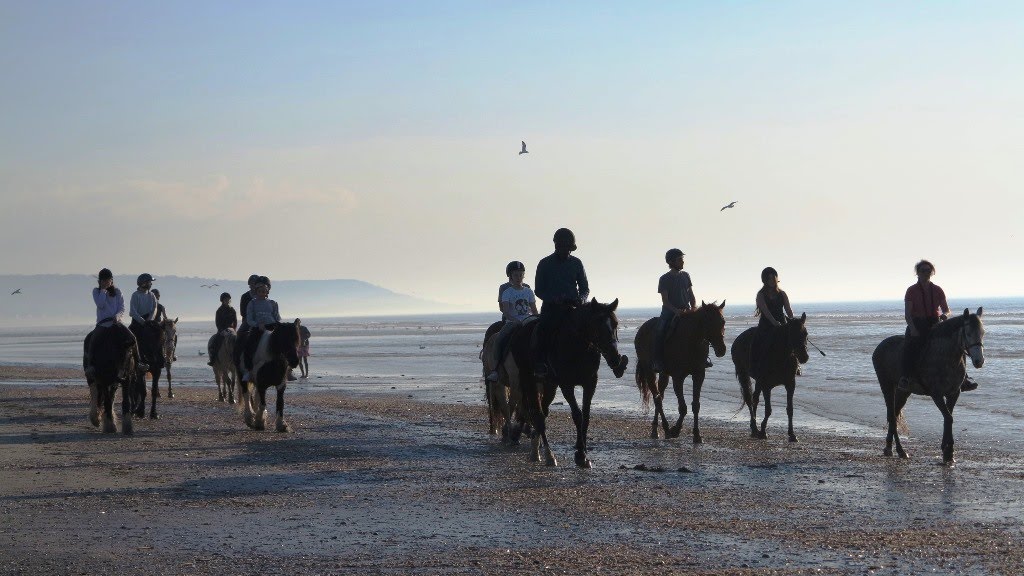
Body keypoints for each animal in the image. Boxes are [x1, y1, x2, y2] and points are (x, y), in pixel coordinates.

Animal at [507, 297, 626, 463]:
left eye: (615, 324)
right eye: (597, 325)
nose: (615, 358)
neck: (577, 346)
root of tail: (520, 329)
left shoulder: (590, 384)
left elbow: (586, 416)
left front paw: (583, 451)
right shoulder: (566, 385)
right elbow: (577, 415)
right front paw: (581, 455)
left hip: (549, 385)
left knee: (543, 411)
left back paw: (537, 448)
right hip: (528, 380)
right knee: (538, 414)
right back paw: (547, 454)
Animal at [630, 297, 729, 440]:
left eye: (723, 321)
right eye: (708, 322)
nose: (721, 349)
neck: (692, 341)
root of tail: (642, 328)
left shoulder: (699, 375)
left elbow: (696, 405)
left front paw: (697, 434)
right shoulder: (678, 378)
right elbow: (682, 408)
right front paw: (675, 430)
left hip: (664, 374)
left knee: (660, 395)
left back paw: (658, 428)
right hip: (649, 371)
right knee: (657, 398)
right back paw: (663, 429)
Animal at [872, 305, 983, 461]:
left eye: (982, 333)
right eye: (967, 333)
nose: (979, 361)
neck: (945, 357)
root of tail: (880, 346)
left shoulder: (954, 393)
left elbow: (948, 417)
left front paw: (947, 450)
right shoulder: (936, 394)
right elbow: (948, 417)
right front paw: (949, 451)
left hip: (903, 391)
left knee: (894, 413)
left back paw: (890, 447)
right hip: (886, 386)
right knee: (892, 417)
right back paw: (900, 450)